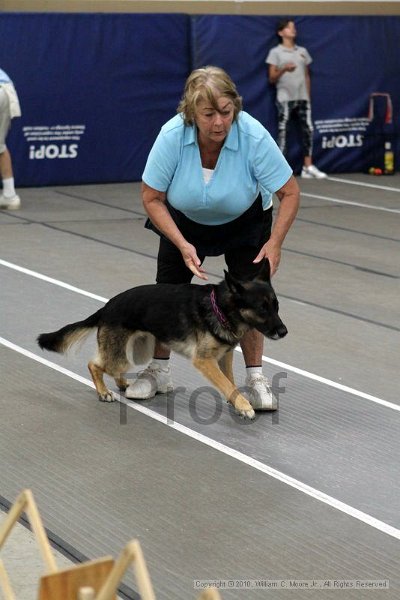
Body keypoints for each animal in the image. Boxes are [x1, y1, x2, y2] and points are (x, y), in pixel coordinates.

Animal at [37, 260, 286, 420]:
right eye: (262, 309)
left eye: (276, 306)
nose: (284, 332)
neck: (221, 308)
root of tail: (107, 306)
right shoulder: (205, 361)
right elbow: (226, 383)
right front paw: (243, 406)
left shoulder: (224, 356)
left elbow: (230, 382)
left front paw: (236, 402)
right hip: (124, 354)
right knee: (94, 364)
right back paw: (103, 392)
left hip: (137, 351)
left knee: (111, 367)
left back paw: (122, 383)